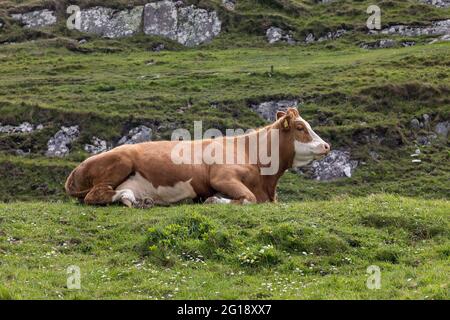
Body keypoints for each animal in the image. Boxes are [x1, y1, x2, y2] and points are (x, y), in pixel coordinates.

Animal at [65, 107, 328, 208]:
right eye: (301, 127)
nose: (326, 145)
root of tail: (74, 172)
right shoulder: (222, 178)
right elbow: (249, 198)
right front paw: (215, 200)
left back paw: (142, 200)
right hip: (121, 161)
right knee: (95, 195)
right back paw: (128, 198)